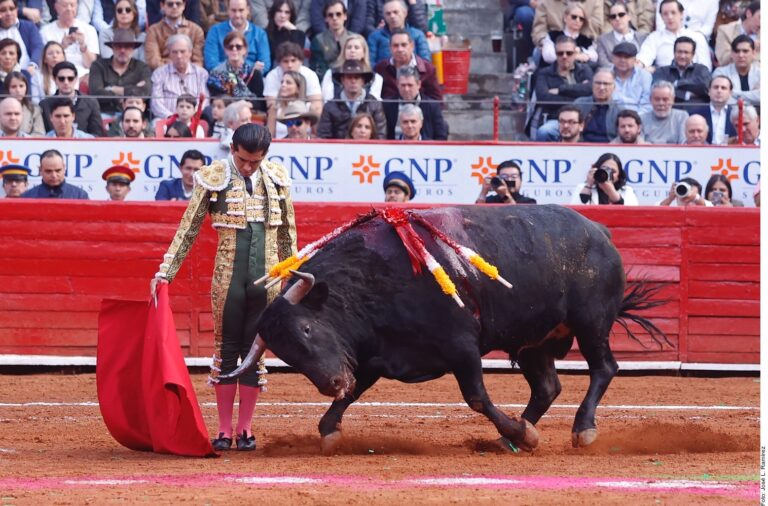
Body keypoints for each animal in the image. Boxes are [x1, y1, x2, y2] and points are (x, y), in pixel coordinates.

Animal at [218, 204, 664, 452]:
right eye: (285, 353)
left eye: (307, 330)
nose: (331, 383)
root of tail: (599, 231)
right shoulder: (374, 356)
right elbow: (355, 394)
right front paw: (328, 431)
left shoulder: (461, 347)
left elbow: (477, 397)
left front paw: (525, 435)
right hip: (533, 341)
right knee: (547, 387)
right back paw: (511, 437)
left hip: (591, 324)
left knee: (604, 368)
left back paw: (580, 430)